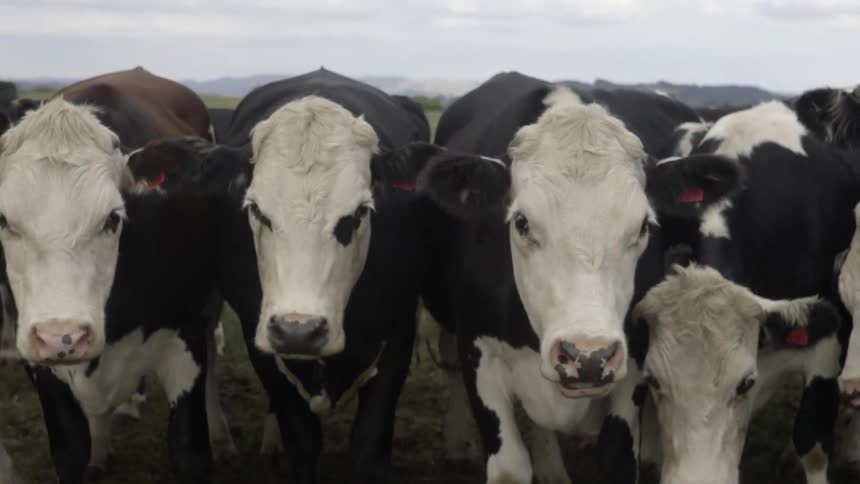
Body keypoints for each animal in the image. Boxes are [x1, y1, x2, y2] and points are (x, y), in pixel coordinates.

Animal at [0, 67, 234, 484]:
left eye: (112, 218)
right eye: (4, 220)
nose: (63, 336)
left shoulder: (185, 336)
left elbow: (189, 450)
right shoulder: (41, 365)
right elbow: (70, 453)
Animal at [148, 68, 436, 484]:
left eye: (359, 212)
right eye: (256, 209)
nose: (298, 329)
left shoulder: (398, 335)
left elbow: (368, 445)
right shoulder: (261, 342)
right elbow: (301, 440)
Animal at [411, 71, 737, 484]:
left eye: (643, 225)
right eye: (522, 222)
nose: (588, 356)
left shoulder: (631, 357)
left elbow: (617, 455)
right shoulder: (478, 351)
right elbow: (509, 467)